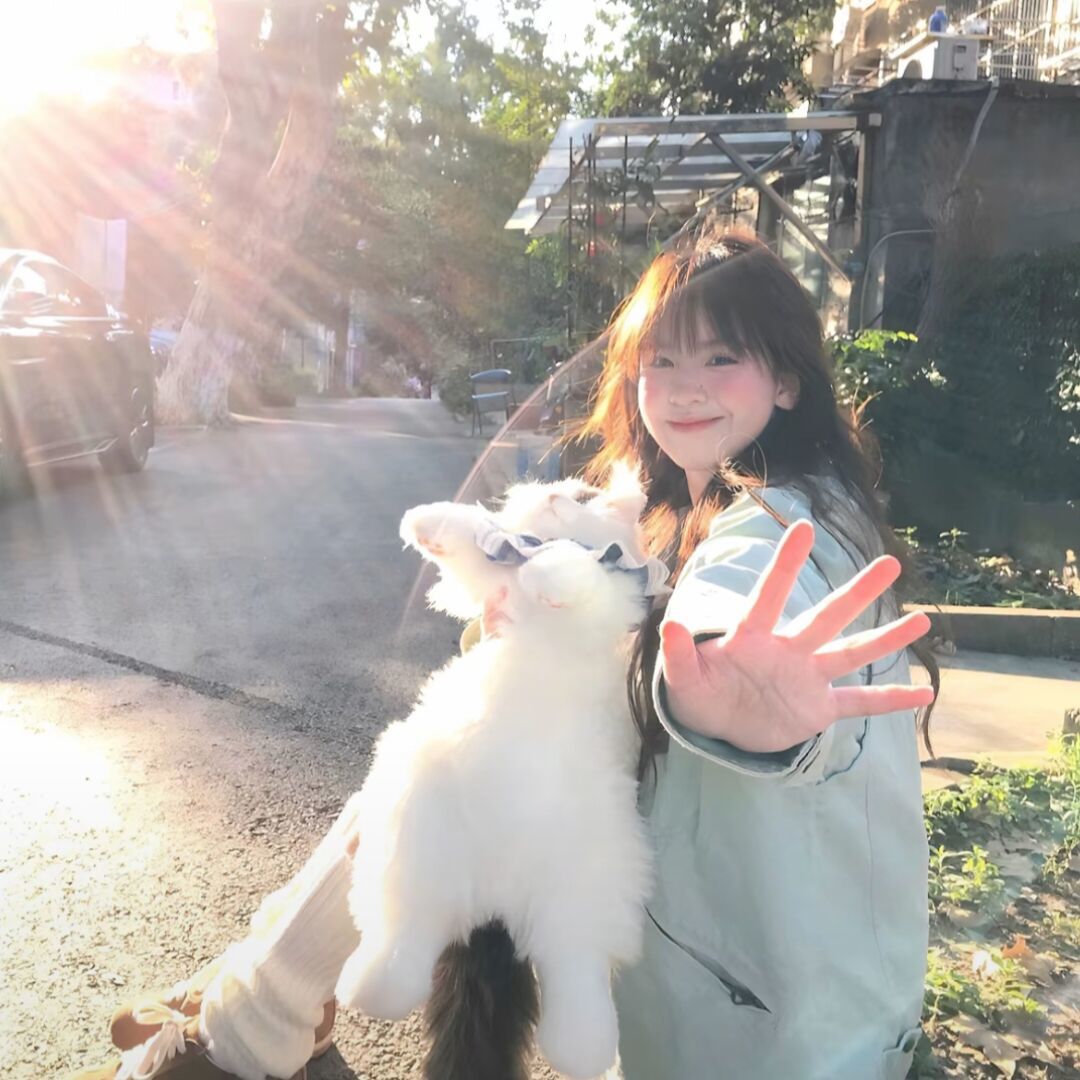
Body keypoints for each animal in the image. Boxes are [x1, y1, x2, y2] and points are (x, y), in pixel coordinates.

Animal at [334, 466, 668, 1080]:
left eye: (582, 495)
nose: (552, 494)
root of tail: (496, 903)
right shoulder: (488, 576)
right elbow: (473, 539)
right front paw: (425, 523)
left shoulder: (610, 594)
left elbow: (574, 569)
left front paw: (550, 569)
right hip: (415, 843)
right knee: (404, 941)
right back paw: (369, 986)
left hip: (587, 894)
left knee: (576, 983)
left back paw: (585, 1051)